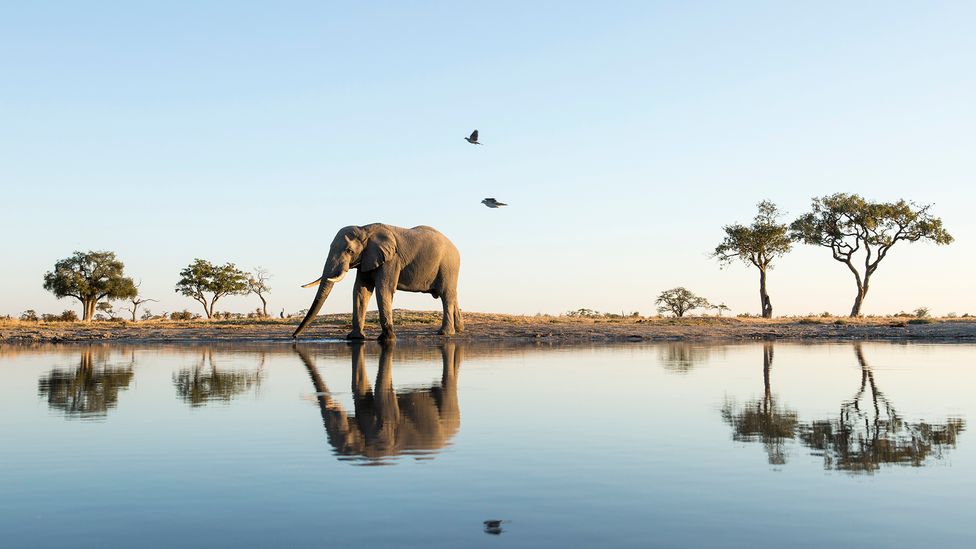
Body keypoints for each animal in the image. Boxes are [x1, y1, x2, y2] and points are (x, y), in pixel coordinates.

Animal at [292, 223, 464, 338]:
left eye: (349, 251)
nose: (294, 337)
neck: (365, 229)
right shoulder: (366, 259)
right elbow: (361, 290)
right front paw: (355, 338)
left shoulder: (391, 259)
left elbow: (383, 288)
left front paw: (387, 339)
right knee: (452, 295)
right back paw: (459, 329)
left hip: (448, 265)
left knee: (446, 295)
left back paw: (445, 333)